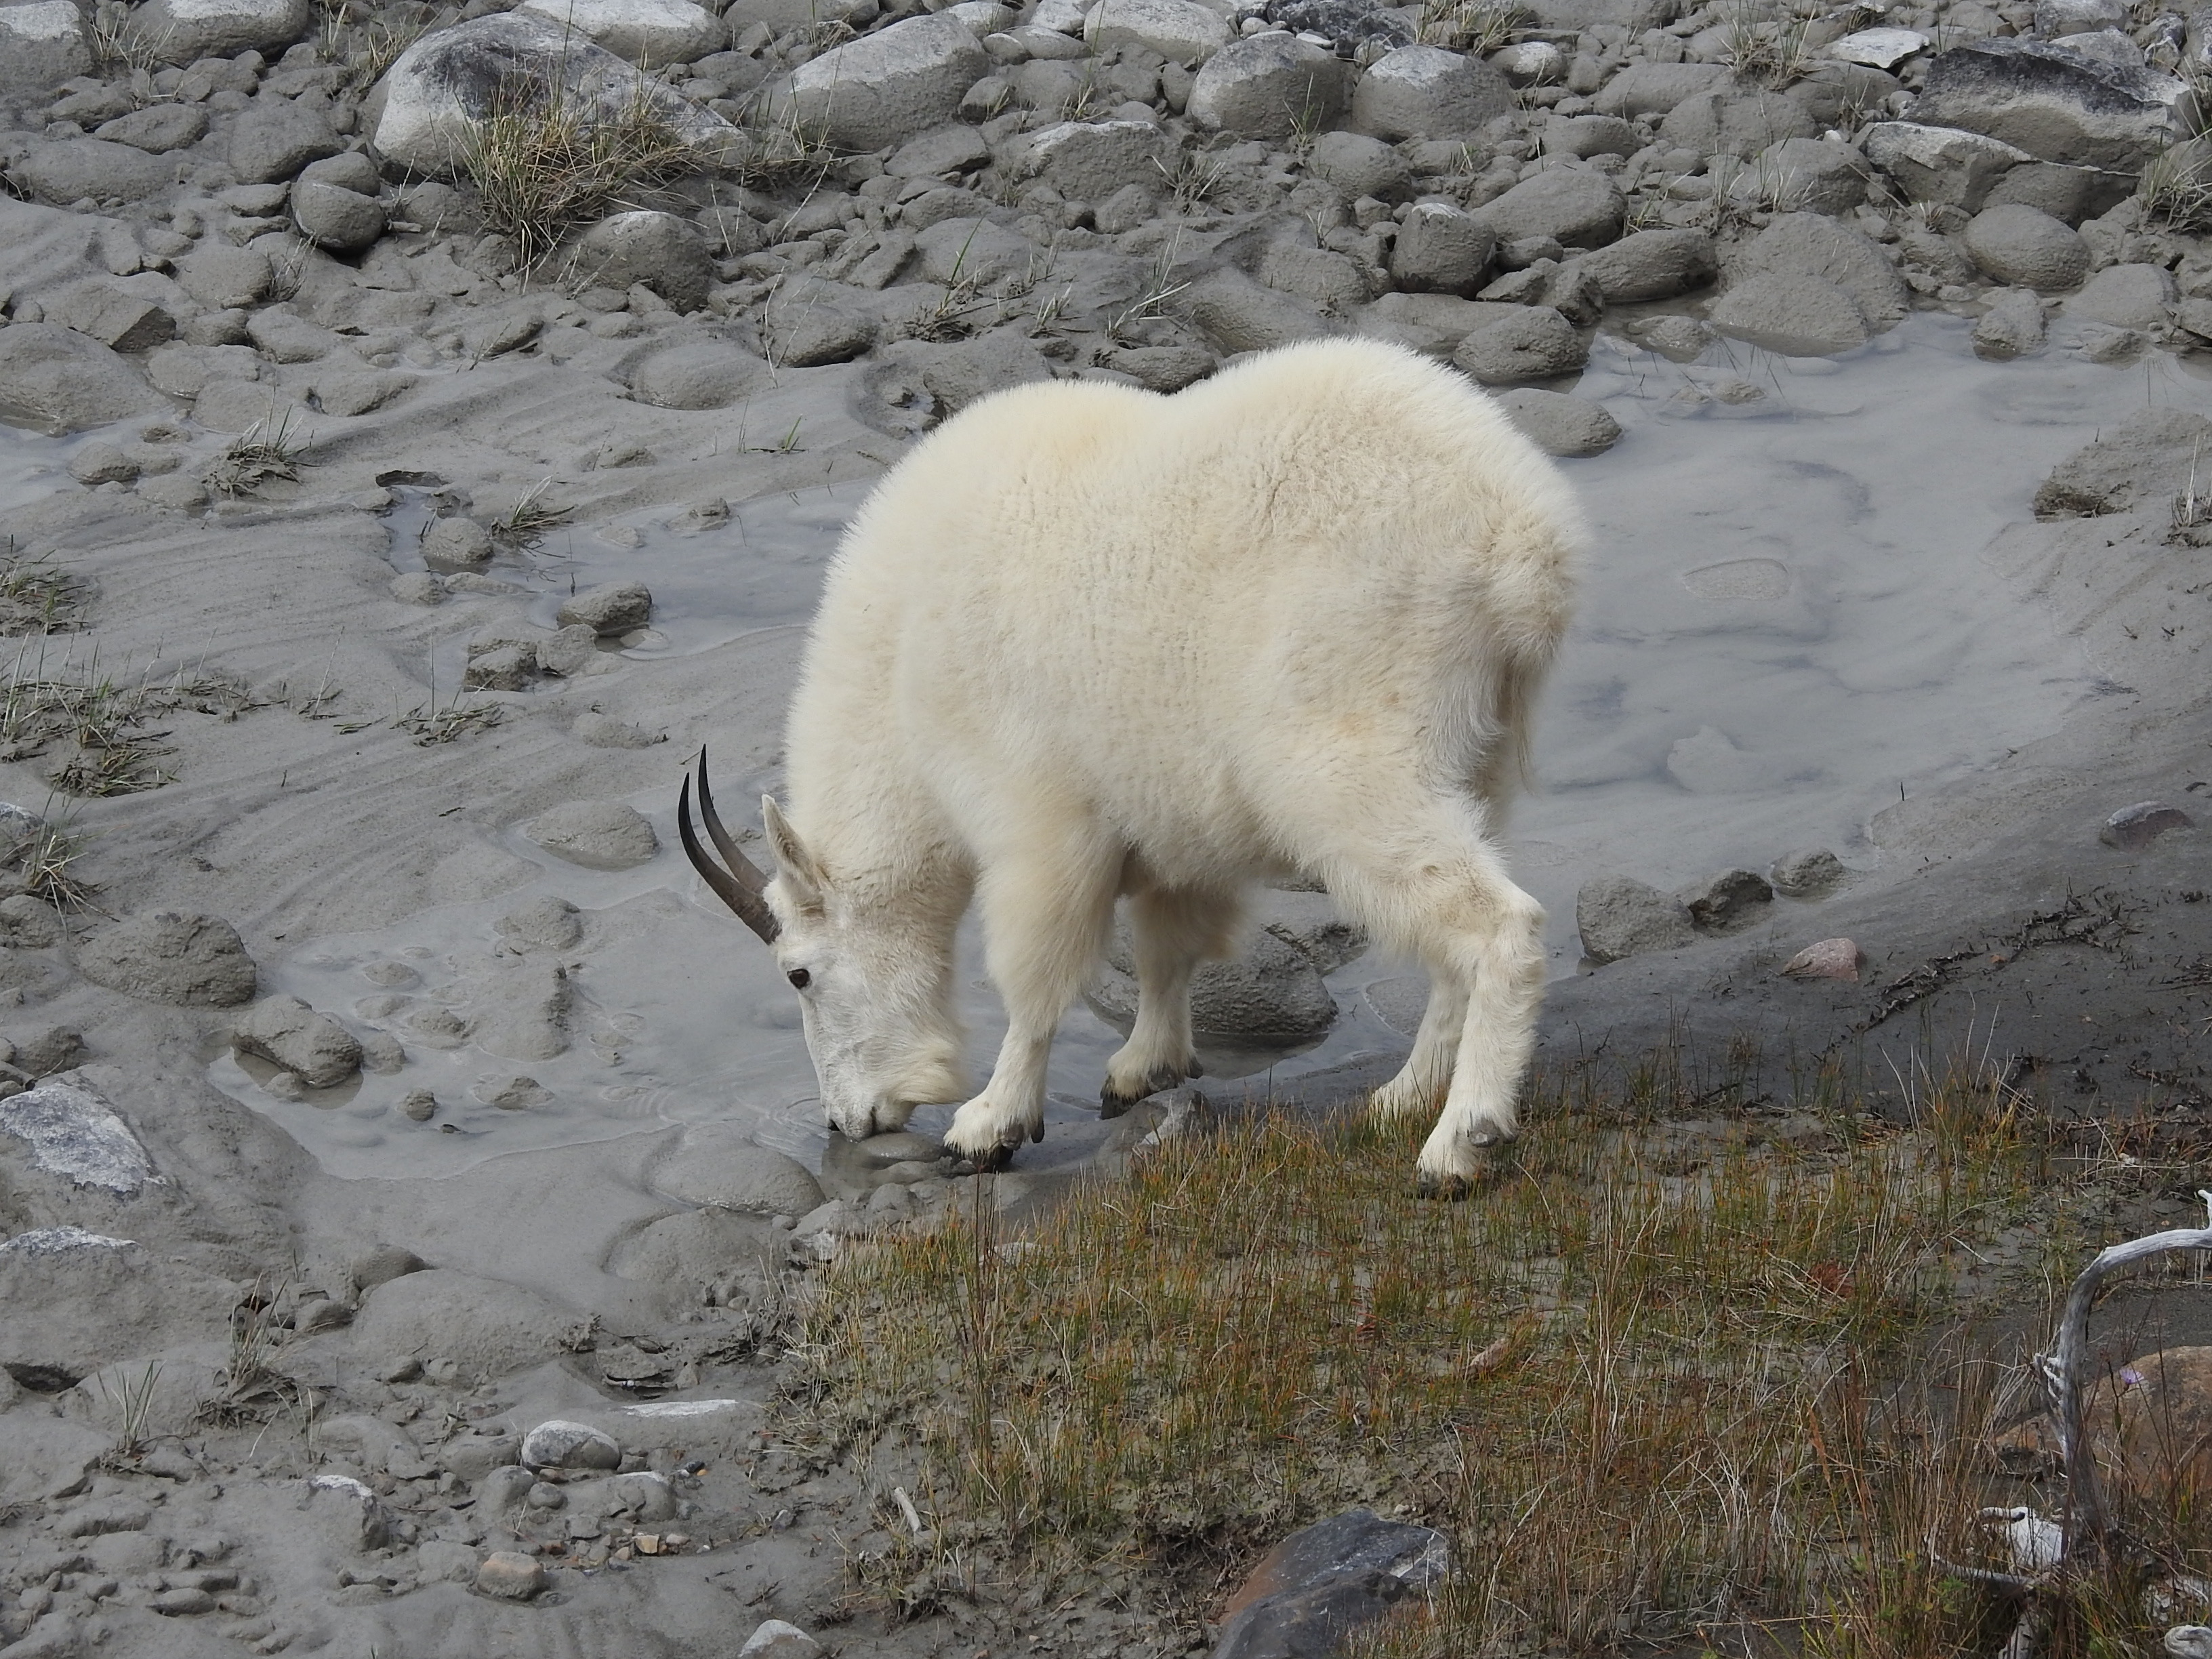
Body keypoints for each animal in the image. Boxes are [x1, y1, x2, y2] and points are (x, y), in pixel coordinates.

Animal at [682, 338, 1583, 1194]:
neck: (899, 662)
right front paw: (1141, 1068)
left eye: (799, 974)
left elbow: (1035, 976)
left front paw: (990, 1122)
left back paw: (1459, 1141)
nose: (849, 1120)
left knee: (1496, 922)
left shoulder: (1033, 813)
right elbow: (1167, 944)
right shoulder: (1170, 808)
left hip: (1351, 749)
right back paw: (1402, 1094)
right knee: (1449, 935)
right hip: (1474, 757)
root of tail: (1525, 544)